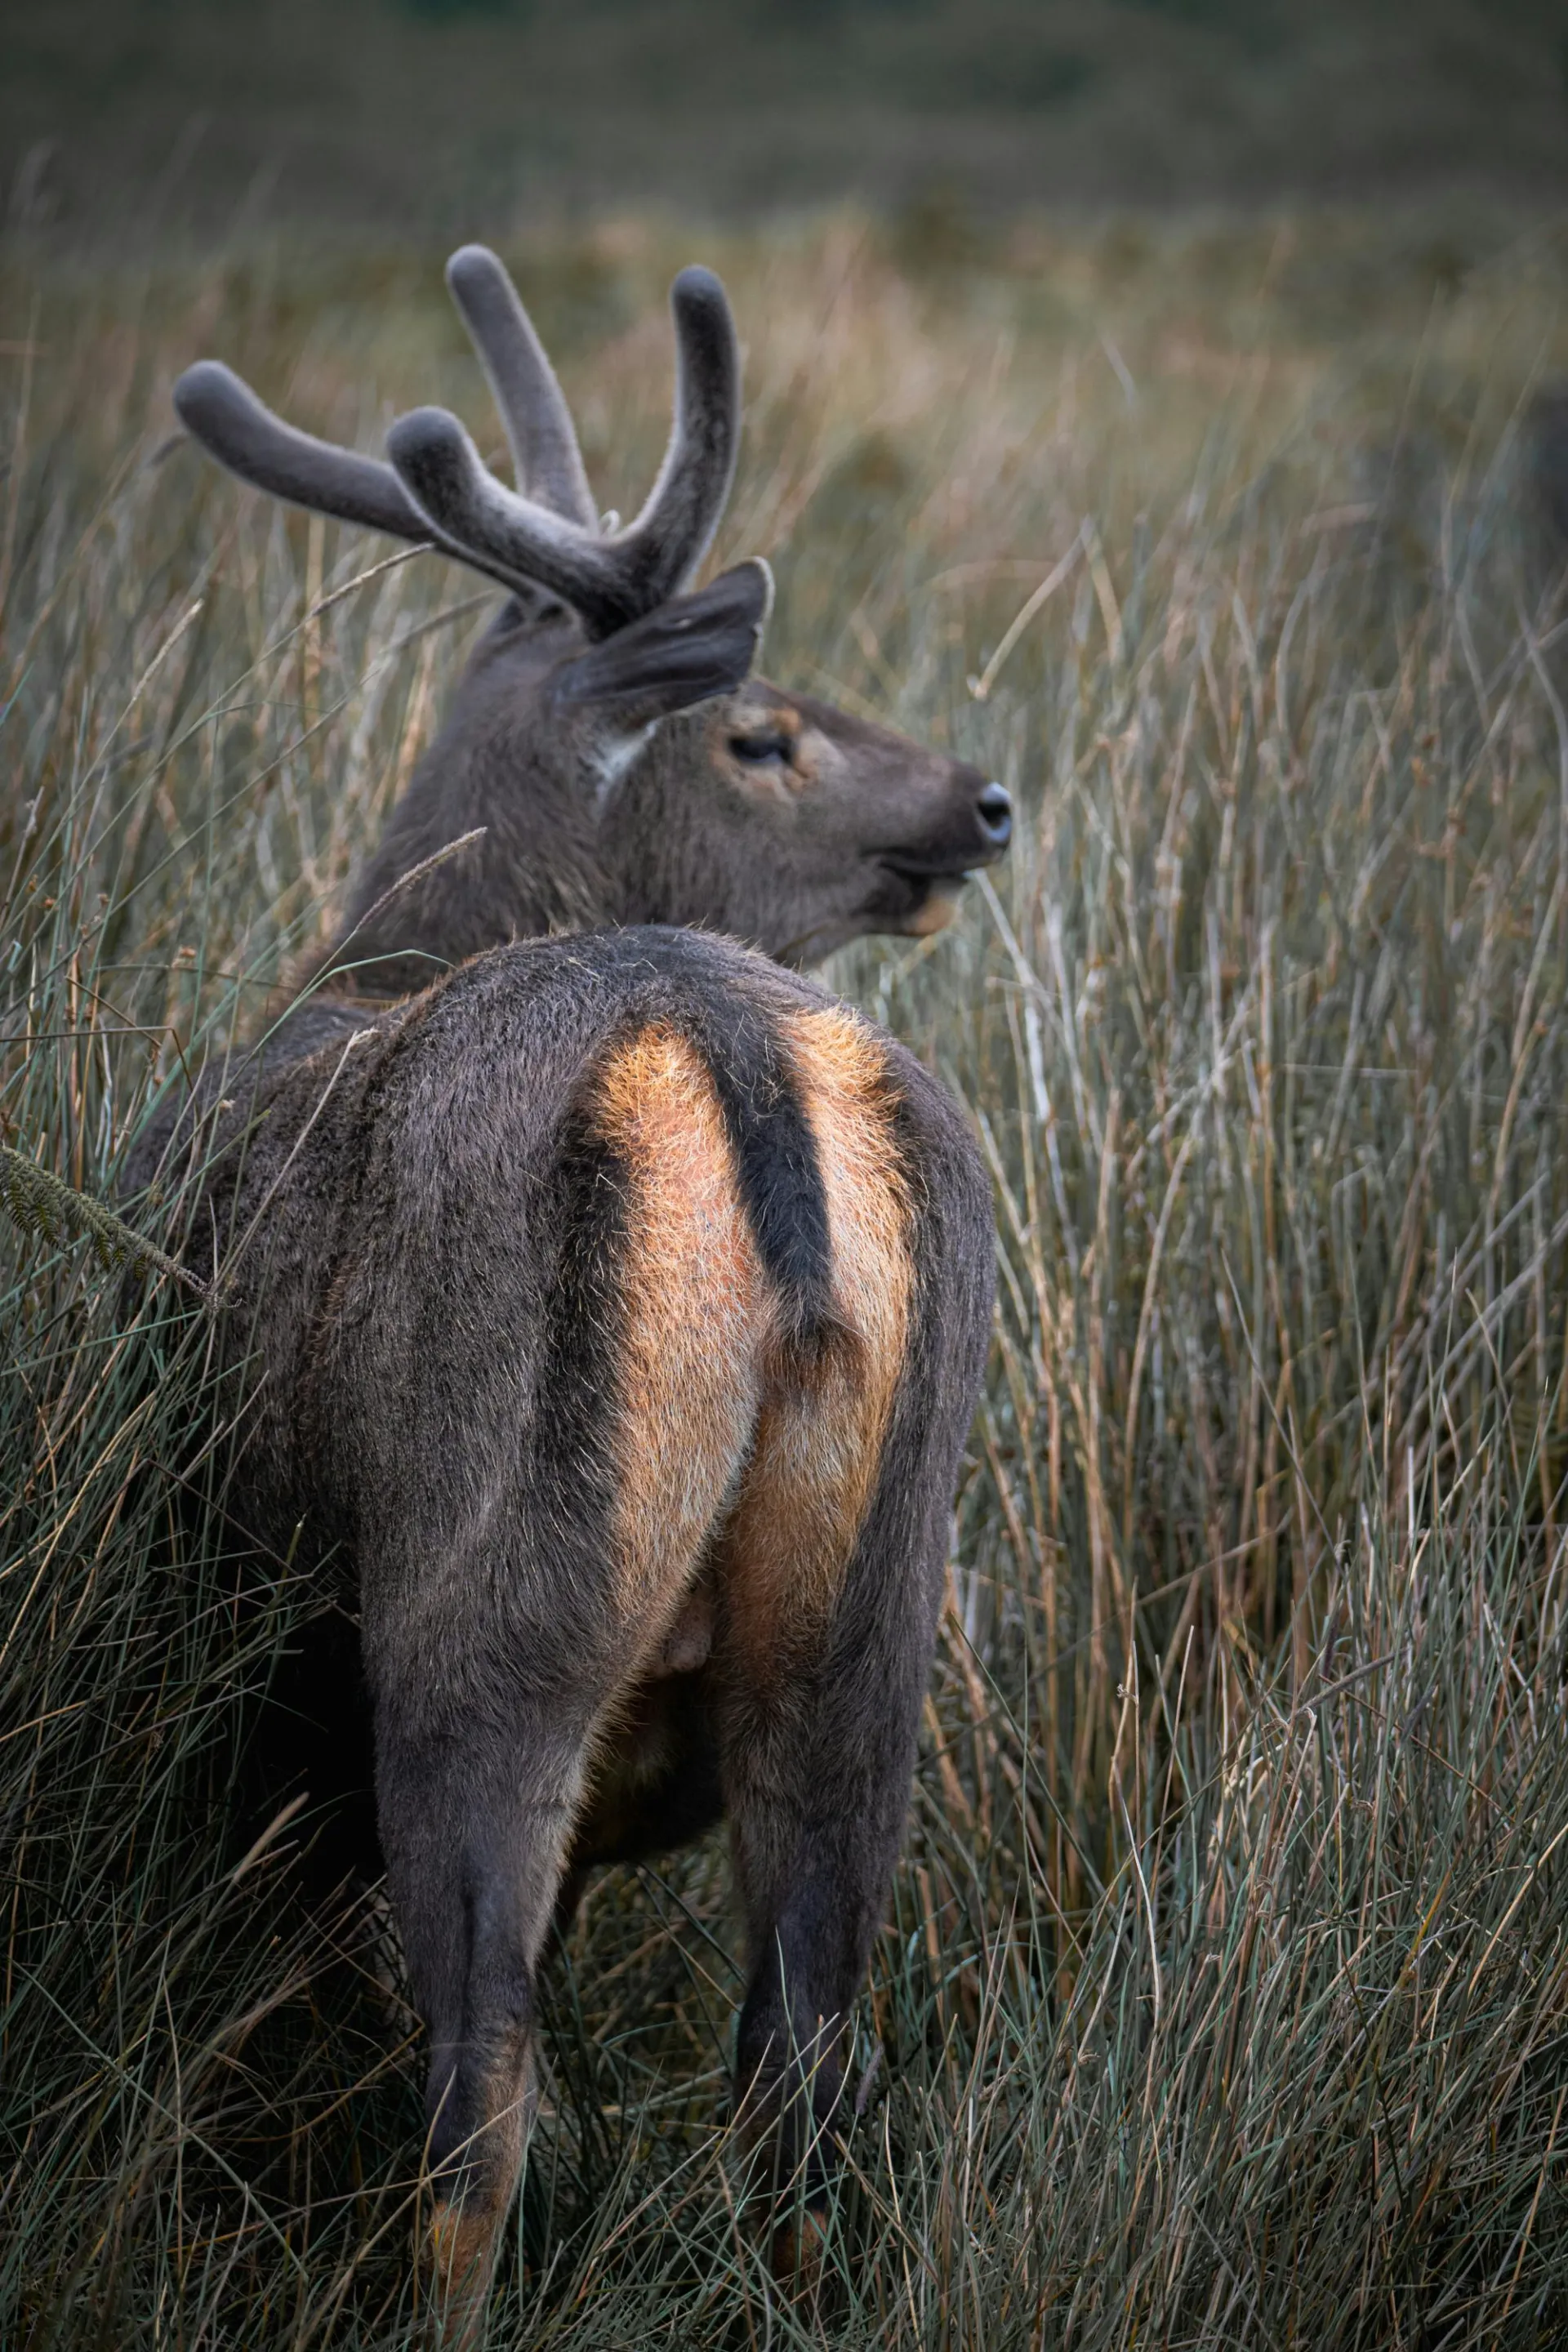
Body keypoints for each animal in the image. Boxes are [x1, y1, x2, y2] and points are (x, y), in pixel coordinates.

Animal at [138, 250, 1009, 2319]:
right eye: (762, 729)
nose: (985, 800)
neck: (365, 960)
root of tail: (741, 1048)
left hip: (489, 1604)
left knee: (479, 2118)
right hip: (871, 1636)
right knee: (800, 2090)